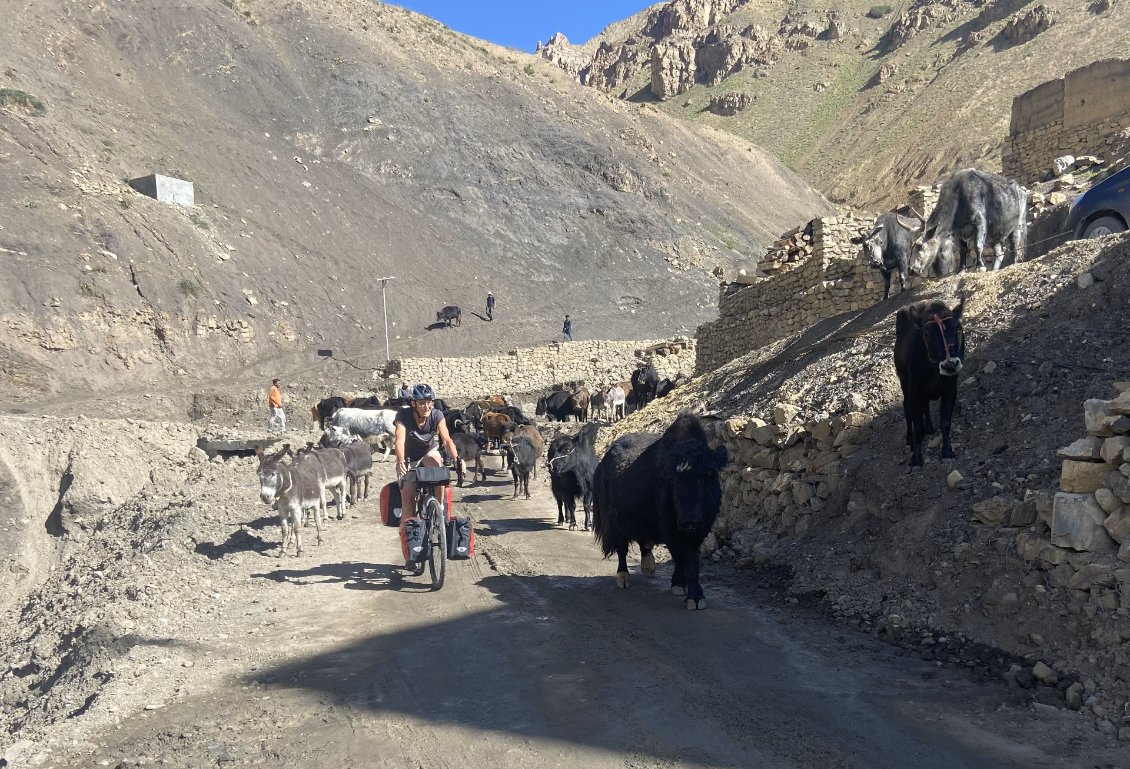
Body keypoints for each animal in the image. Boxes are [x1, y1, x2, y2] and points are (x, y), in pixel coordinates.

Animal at [587, 413, 727, 609]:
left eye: (709, 474)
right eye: (672, 480)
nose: (689, 521)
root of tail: (602, 464)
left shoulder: (699, 530)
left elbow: (688, 559)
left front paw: (680, 586)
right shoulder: (673, 529)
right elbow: (685, 559)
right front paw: (695, 597)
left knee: (644, 543)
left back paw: (649, 568)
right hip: (614, 522)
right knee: (622, 549)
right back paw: (623, 578)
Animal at [890, 300, 962, 467]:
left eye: (957, 327)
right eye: (926, 333)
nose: (950, 365)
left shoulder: (951, 388)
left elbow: (945, 422)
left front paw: (947, 452)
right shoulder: (914, 390)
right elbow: (918, 426)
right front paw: (916, 459)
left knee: (926, 404)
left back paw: (930, 428)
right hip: (904, 382)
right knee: (907, 408)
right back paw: (910, 440)